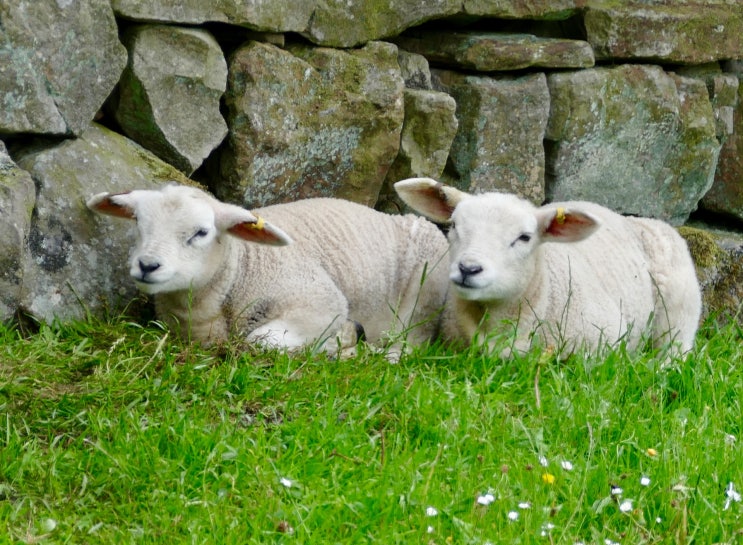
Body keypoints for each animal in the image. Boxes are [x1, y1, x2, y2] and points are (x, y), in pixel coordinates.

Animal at [87, 183, 448, 356]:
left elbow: (260, 341)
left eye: (201, 232)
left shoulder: (322, 302)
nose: (147, 265)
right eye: (138, 221)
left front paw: (340, 339)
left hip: (420, 307)